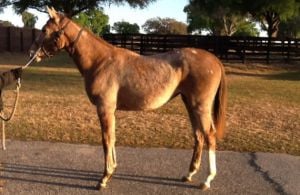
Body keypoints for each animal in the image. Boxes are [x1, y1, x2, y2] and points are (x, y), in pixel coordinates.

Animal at [29, 7, 227, 190]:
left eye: (44, 30)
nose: (32, 54)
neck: (100, 61)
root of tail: (215, 60)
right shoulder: (110, 111)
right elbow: (113, 138)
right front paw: (112, 171)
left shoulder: (104, 108)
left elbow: (106, 140)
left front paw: (104, 178)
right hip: (189, 103)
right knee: (199, 135)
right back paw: (189, 174)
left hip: (200, 106)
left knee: (209, 135)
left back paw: (207, 180)